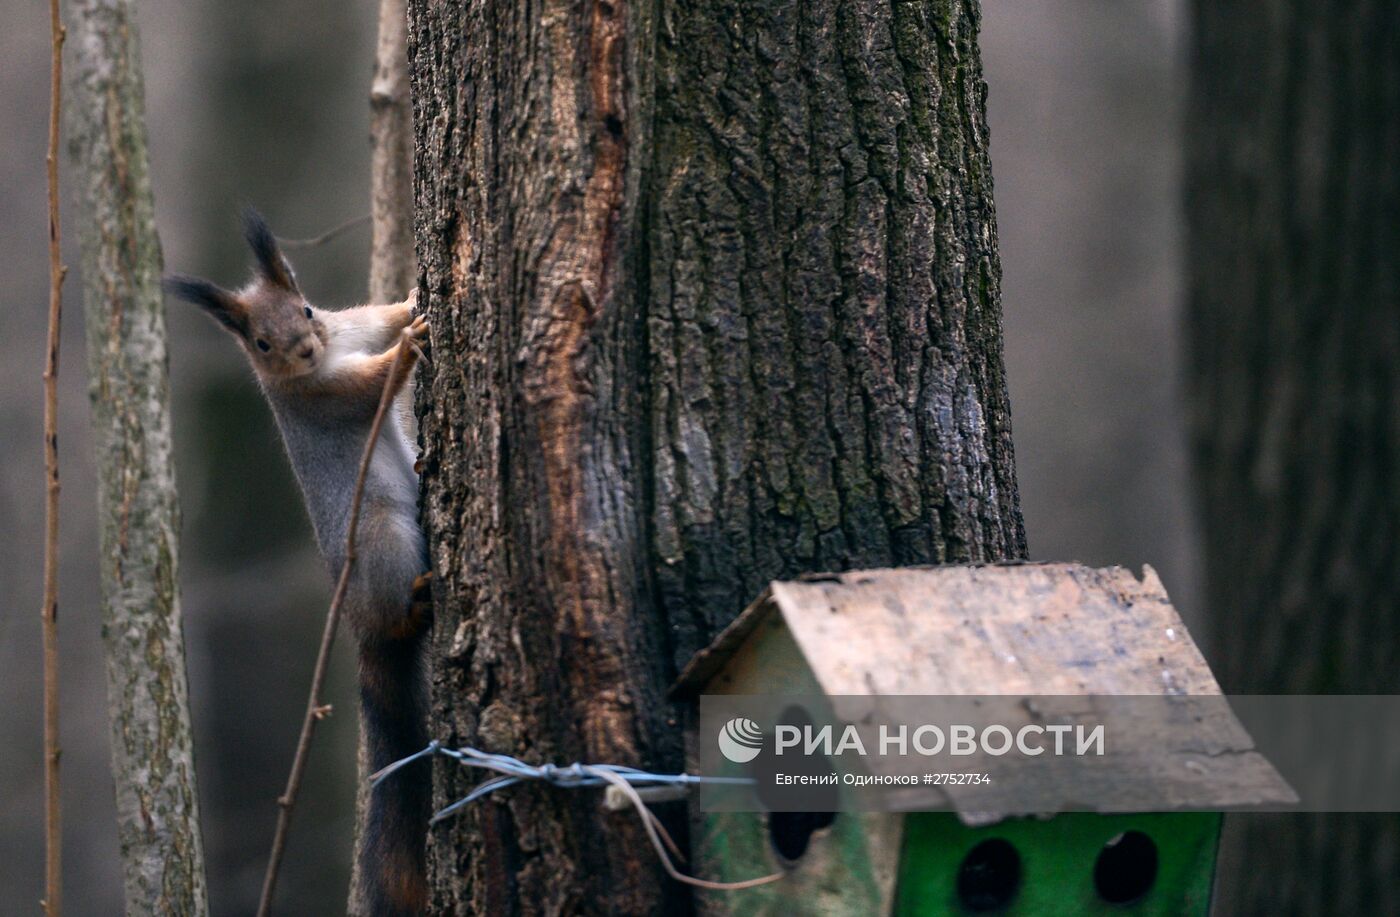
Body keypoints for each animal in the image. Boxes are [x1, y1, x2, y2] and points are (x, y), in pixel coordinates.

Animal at [163, 211, 428, 912]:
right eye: (260, 342)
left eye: (306, 309)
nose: (304, 349)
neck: (329, 355)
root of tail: (361, 621)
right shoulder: (326, 396)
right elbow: (372, 386)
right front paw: (408, 349)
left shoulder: (348, 326)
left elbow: (378, 316)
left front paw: (413, 305)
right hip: (384, 539)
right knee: (400, 612)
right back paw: (419, 599)